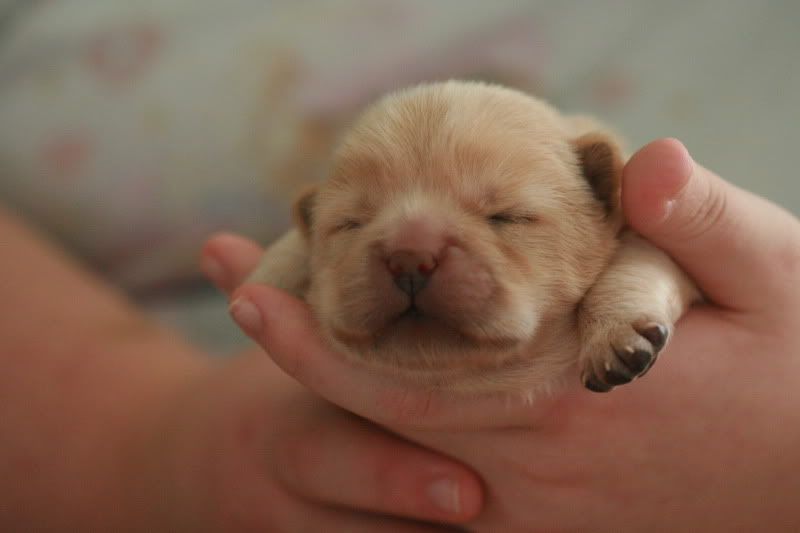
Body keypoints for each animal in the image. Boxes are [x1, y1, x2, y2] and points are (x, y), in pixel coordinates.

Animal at [248, 80, 692, 394]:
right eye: (350, 223)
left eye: (507, 216)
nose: (409, 257)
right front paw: (269, 273)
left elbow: (638, 261)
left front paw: (614, 335)